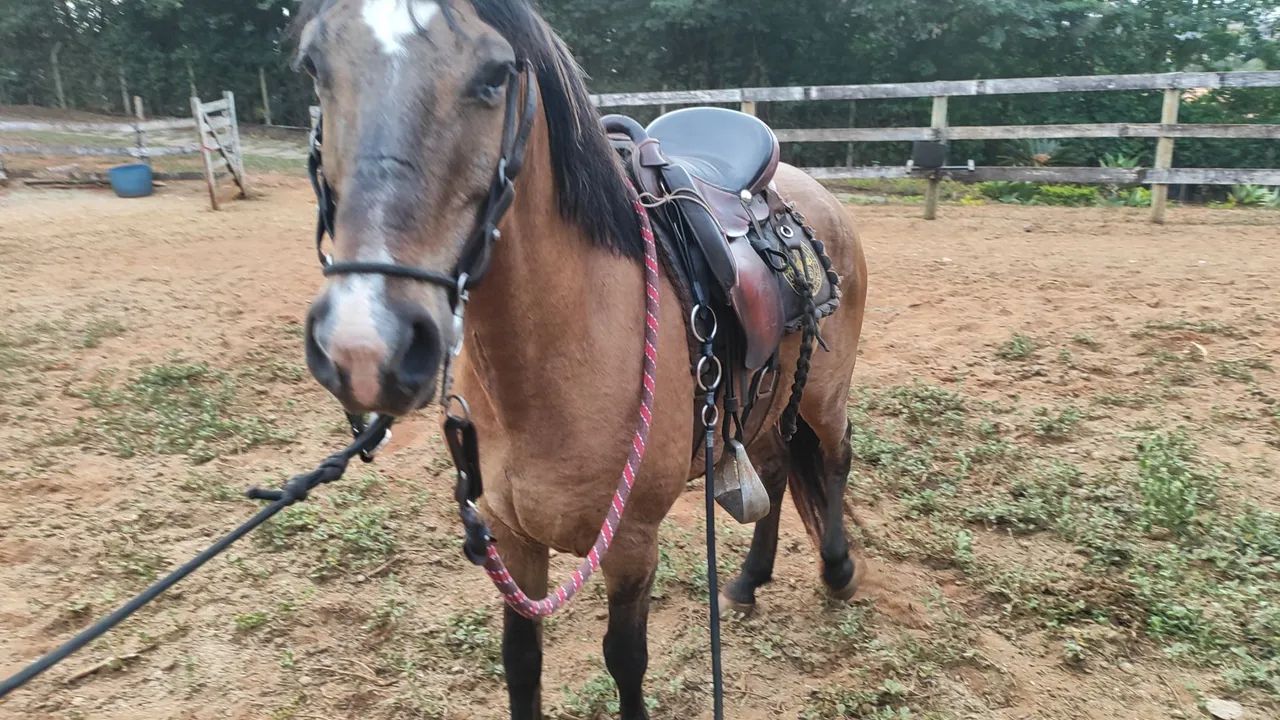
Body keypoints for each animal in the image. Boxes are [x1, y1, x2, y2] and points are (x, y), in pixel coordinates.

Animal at [293, 1, 868, 717]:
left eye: (493, 76)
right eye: (314, 65)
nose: (365, 343)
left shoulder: (631, 544)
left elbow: (625, 660)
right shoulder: (511, 535)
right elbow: (521, 661)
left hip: (823, 392)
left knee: (835, 456)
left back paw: (838, 570)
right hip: (762, 401)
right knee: (778, 465)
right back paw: (747, 581)